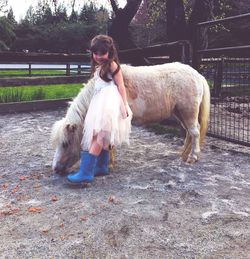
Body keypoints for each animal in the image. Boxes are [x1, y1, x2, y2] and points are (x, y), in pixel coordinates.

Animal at [51, 62, 210, 175]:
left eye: (65, 144)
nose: (56, 169)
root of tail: (198, 75)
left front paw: (108, 165)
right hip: (180, 113)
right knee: (189, 132)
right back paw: (184, 154)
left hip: (188, 111)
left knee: (195, 132)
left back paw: (192, 157)